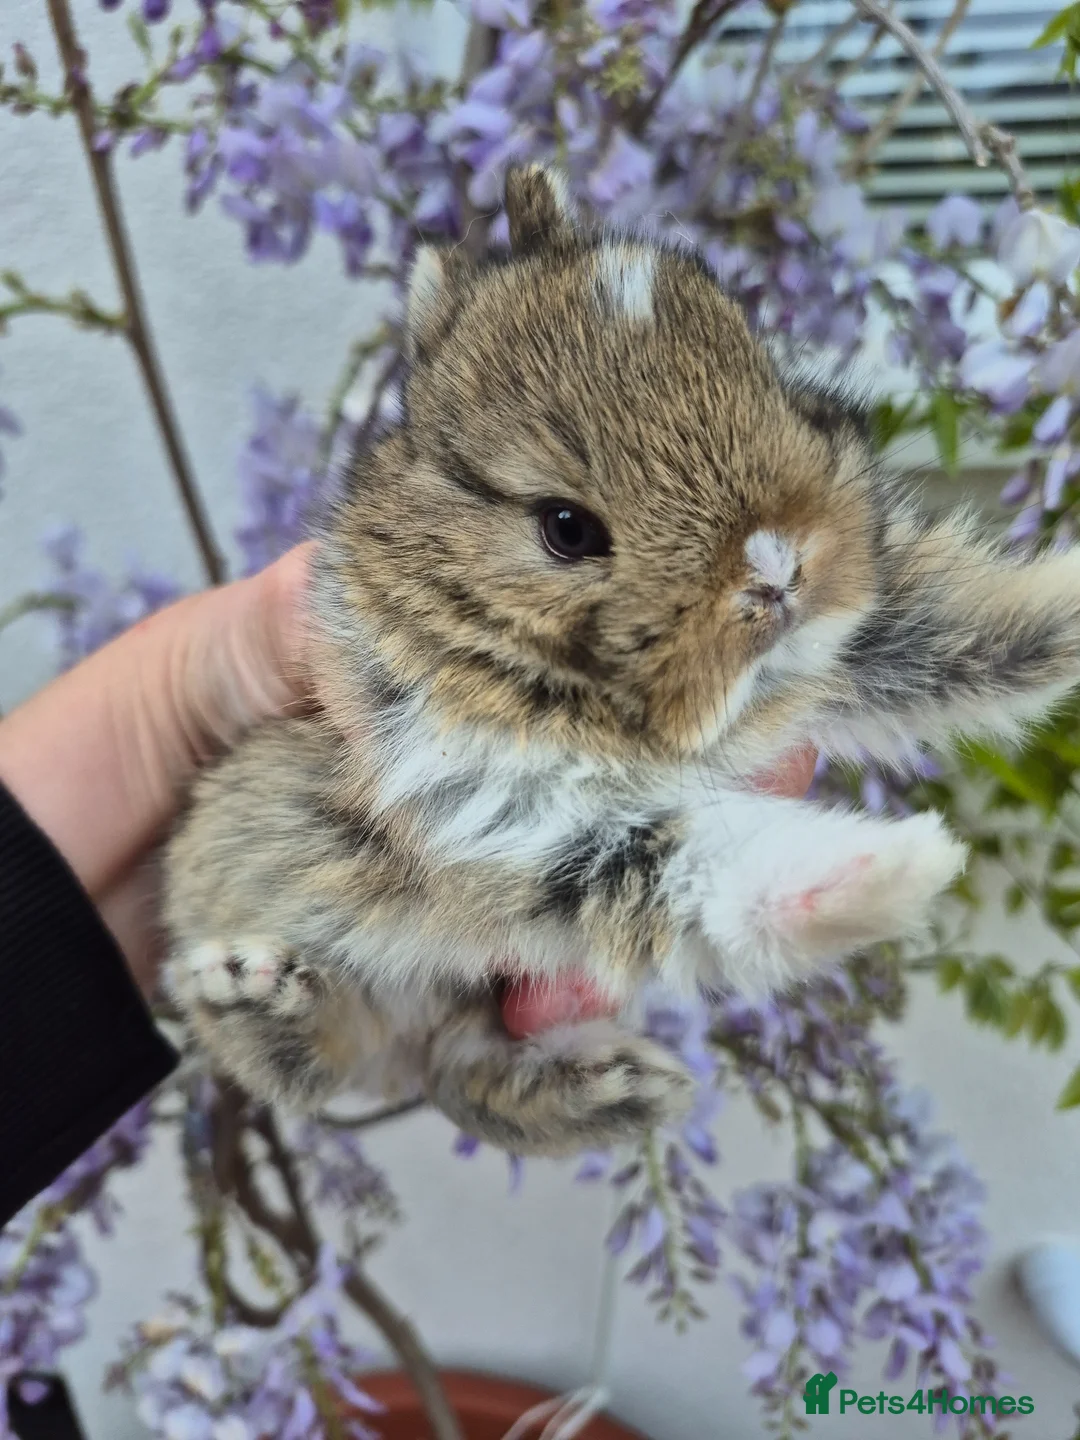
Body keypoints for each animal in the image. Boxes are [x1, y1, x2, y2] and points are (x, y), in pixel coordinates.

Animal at [163, 165, 1080, 1157]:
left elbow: (978, 624)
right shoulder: (505, 817)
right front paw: (902, 866)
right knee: (318, 1062)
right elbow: (697, 857)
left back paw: (626, 1087)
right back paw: (252, 983)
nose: (779, 568)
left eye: (755, 364)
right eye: (567, 528)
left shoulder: (864, 646)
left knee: (463, 1074)